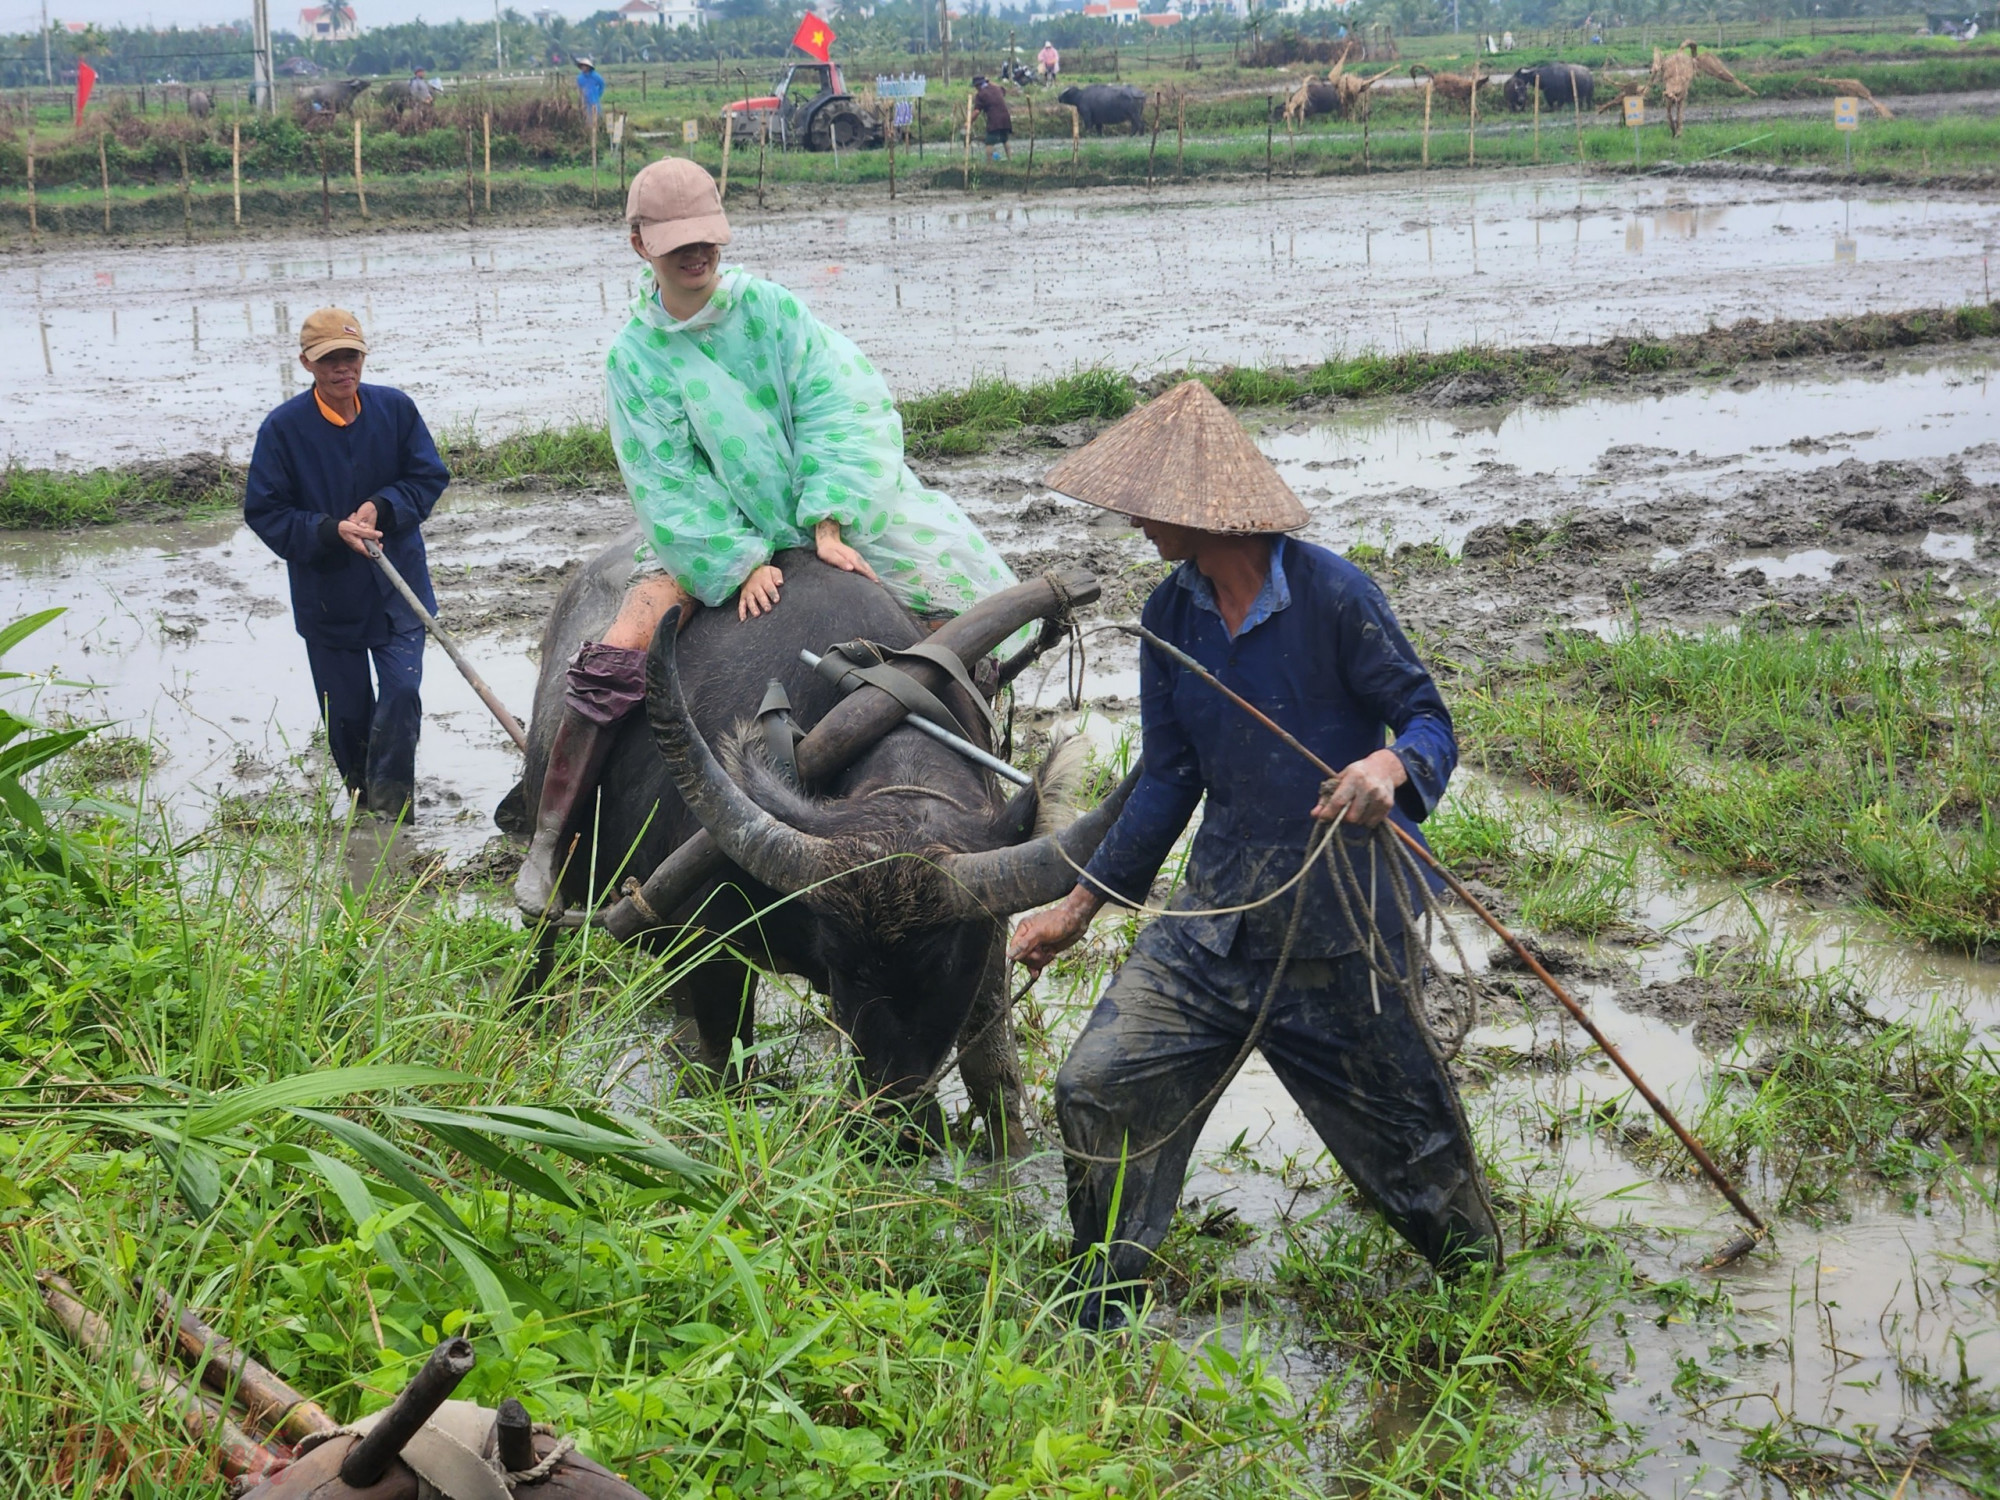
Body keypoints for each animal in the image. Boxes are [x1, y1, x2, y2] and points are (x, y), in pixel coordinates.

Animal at [516, 536, 1136, 1160]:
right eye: (844, 964)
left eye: (941, 965)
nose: (890, 1128)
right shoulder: (711, 949)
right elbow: (725, 1072)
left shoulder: (987, 938)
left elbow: (994, 1076)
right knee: (544, 939)